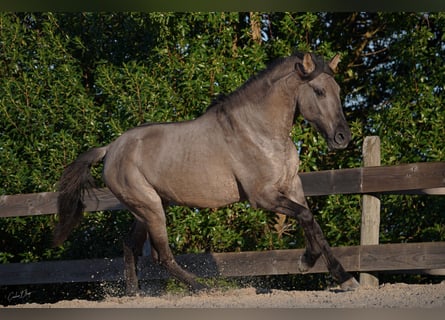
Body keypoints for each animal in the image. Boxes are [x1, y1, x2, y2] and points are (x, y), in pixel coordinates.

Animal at [53, 52, 358, 296]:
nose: (342, 137)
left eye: (337, 88)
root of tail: (110, 149)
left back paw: (133, 293)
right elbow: (307, 218)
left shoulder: (292, 186)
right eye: (318, 91)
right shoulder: (262, 196)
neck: (259, 130)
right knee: (162, 256)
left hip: (146, 208)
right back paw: (204, 287)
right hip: (151, 208)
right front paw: (310, 264)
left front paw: (340, 276)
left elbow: (314, 225)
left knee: (130, 246)